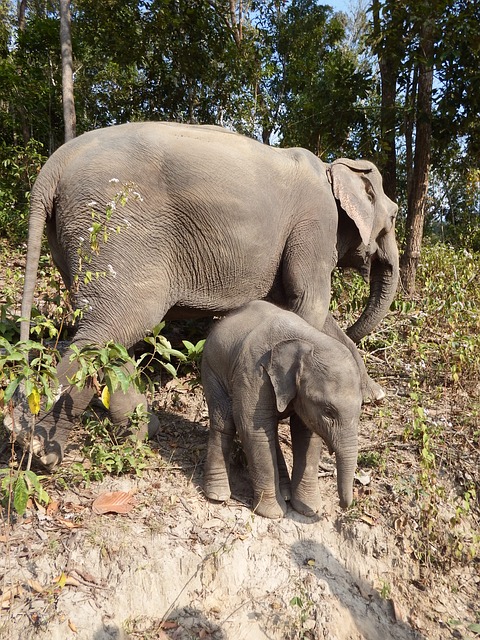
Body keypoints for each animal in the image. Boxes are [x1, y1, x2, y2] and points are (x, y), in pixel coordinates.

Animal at [6, 122, 398, 468]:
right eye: (394, 216)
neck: (333, 167)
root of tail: (56, 164)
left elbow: (299, 307)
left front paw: (371, 393)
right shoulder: (316, 221)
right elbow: (308, 303)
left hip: (74, 240)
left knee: (110, 329)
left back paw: (138, 431)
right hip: (111, 226)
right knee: (114, 327)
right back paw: (38, 448)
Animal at [201, 302, 362, 520]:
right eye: (329, 411)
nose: (343, 505)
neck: (307, 341)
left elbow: (307, 434)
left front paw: (308, 509)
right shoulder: (254, 373)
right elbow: (252, 429)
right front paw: (273, 513)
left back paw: (285, 493)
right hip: (212, 369)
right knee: (224, 422)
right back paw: (217, 495)